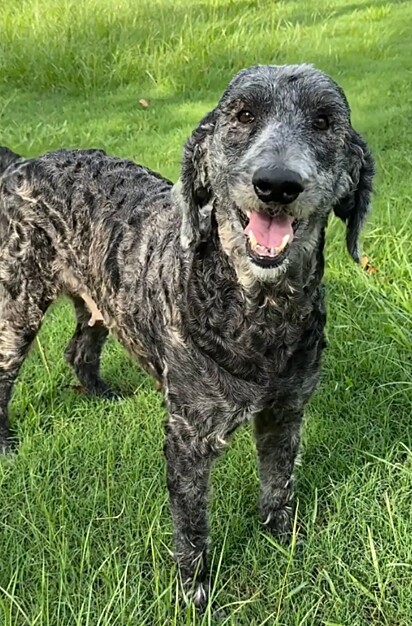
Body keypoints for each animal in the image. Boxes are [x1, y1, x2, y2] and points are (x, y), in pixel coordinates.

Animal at [0, 66, 374, 608]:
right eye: (243, 114)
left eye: (324, 121)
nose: (276, 184)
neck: (259, 315)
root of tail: (22, 162)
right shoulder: (189, 440)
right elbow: (192, 528)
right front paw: (195, 593)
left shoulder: (285, 413)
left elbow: (278, 486)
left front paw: (284, 546)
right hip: (18, 307)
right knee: (5, 374)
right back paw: (6, 441)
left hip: (99, 301)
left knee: (78, 350)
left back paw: (99, 393)